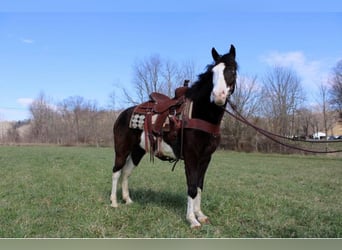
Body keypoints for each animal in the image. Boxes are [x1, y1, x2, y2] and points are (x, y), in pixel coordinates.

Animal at [111, 44, 236, 228]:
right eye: (212, 72)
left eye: (232, 70)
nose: (218, 96)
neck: (198, 114)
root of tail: (122, 114)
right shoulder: (191, 157)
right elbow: (192, 187)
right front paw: (192, 220)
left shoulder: (206, 158)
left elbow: (199, 186)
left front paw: (200, 215)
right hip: (122, 149)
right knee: (116, 171)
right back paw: (114, 202)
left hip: (137, 151)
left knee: (126, 172)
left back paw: (128, 200)